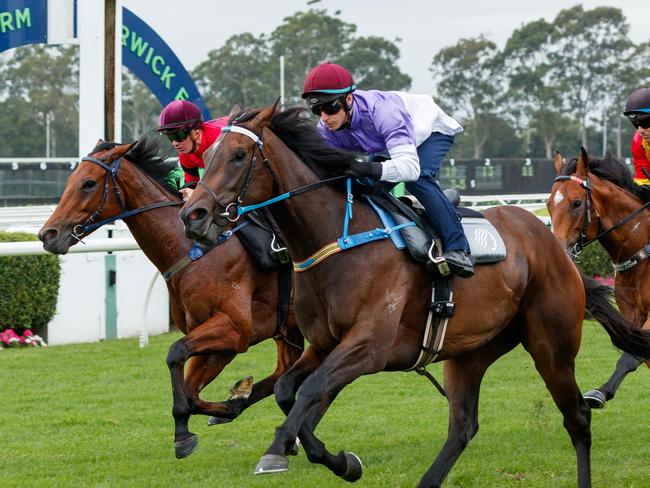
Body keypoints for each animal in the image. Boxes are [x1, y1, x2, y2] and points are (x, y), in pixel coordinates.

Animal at [38, 139, 304, 460]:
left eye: (88, 183)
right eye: (70, 181)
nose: (47, 234)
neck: (193, 250)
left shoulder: (234, 329)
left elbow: (176, 354)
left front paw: (184, 433)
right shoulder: (219, 342)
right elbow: (190, 392)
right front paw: (225, 406)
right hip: (288, 330)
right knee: (283, 371)